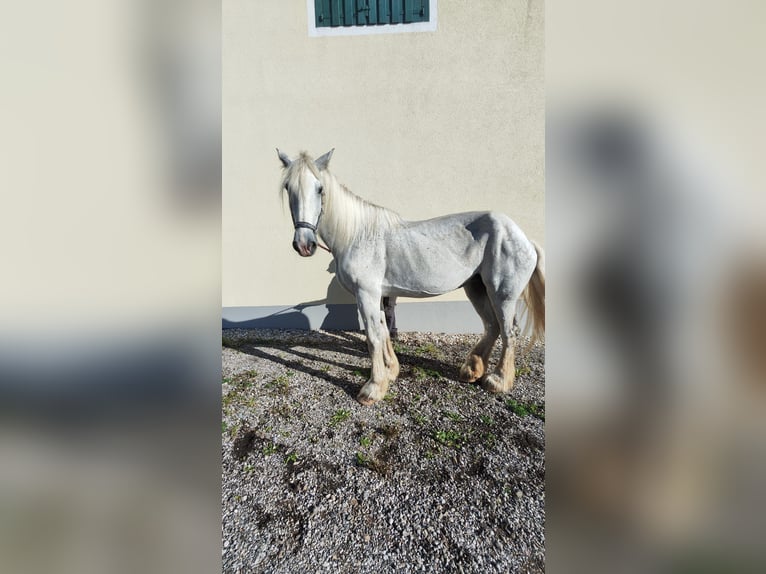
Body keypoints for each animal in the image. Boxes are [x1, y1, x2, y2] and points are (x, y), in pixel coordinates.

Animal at [277, 148, 545, 406]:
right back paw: (471, 371)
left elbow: (373, 337)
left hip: (502, 295)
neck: (356, 235)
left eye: (320, 188)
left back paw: (498, 380)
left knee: (508, 331)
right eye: (288, 188)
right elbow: (383, 331)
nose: (304, 245)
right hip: (476, 288)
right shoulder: (377, 295)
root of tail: (525, 239)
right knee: (491, 326)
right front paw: (391, 371)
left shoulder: (366, 294)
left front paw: (373, 388)